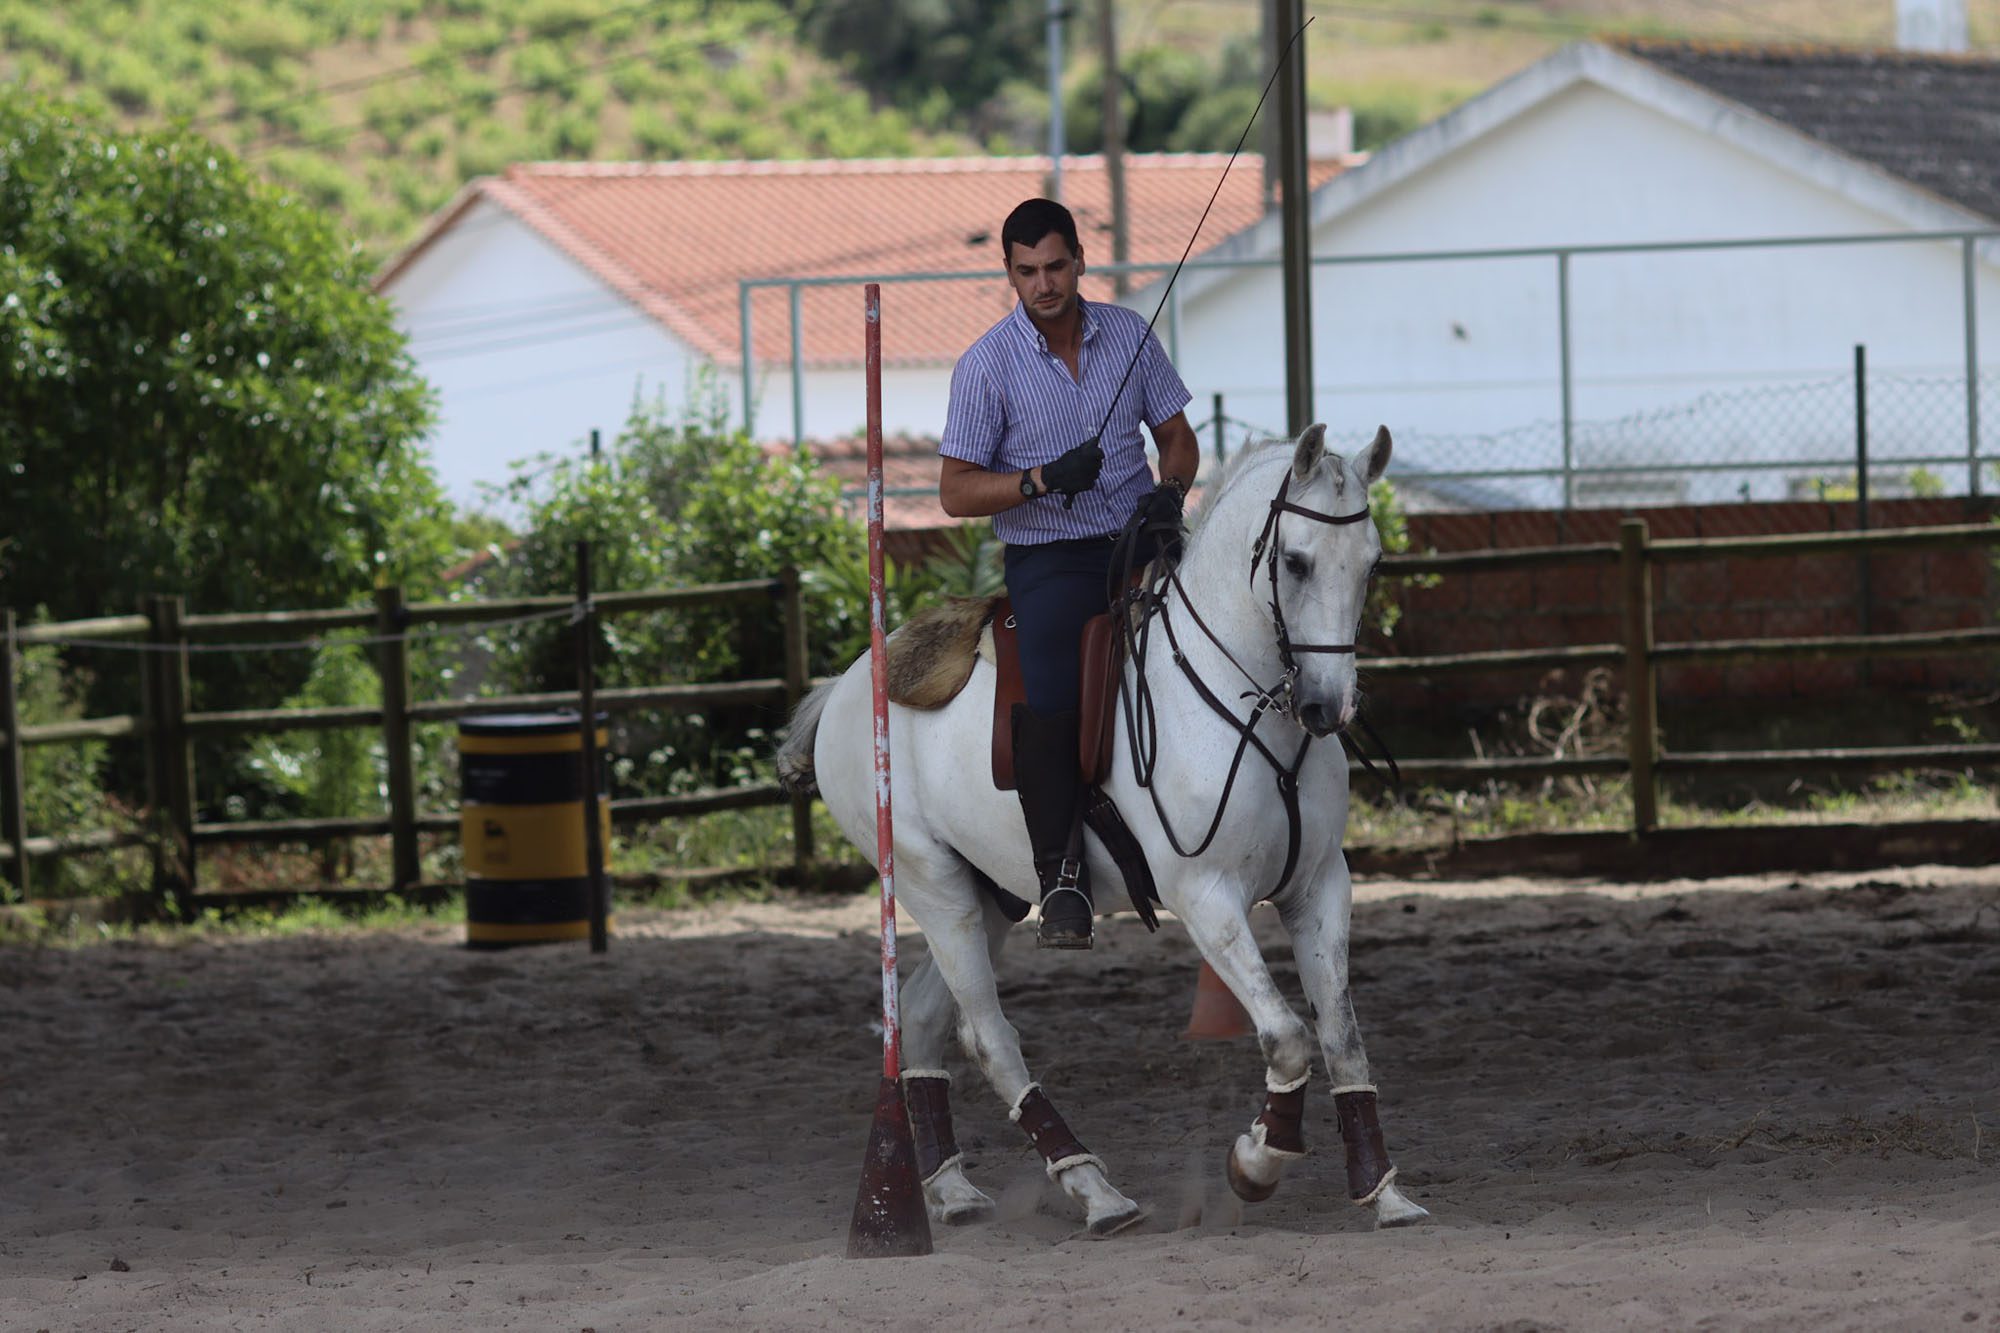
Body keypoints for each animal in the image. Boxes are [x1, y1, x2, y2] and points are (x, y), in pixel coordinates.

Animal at [772, 426, 1432, 1232]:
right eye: (1296, 560)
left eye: (1373, 562)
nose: (1326, 708)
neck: (1241, 700)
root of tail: (848, 686)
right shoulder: (1207, 898)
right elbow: (1286, 1036)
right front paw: (1255, 1163)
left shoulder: (1319, 887)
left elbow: (1342, 1037)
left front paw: (1383, 1191)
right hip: (934, 887)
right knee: (987, 1035)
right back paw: (1093, 1188)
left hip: (989, 895)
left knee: (928, 1018)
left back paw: (951, 1189)